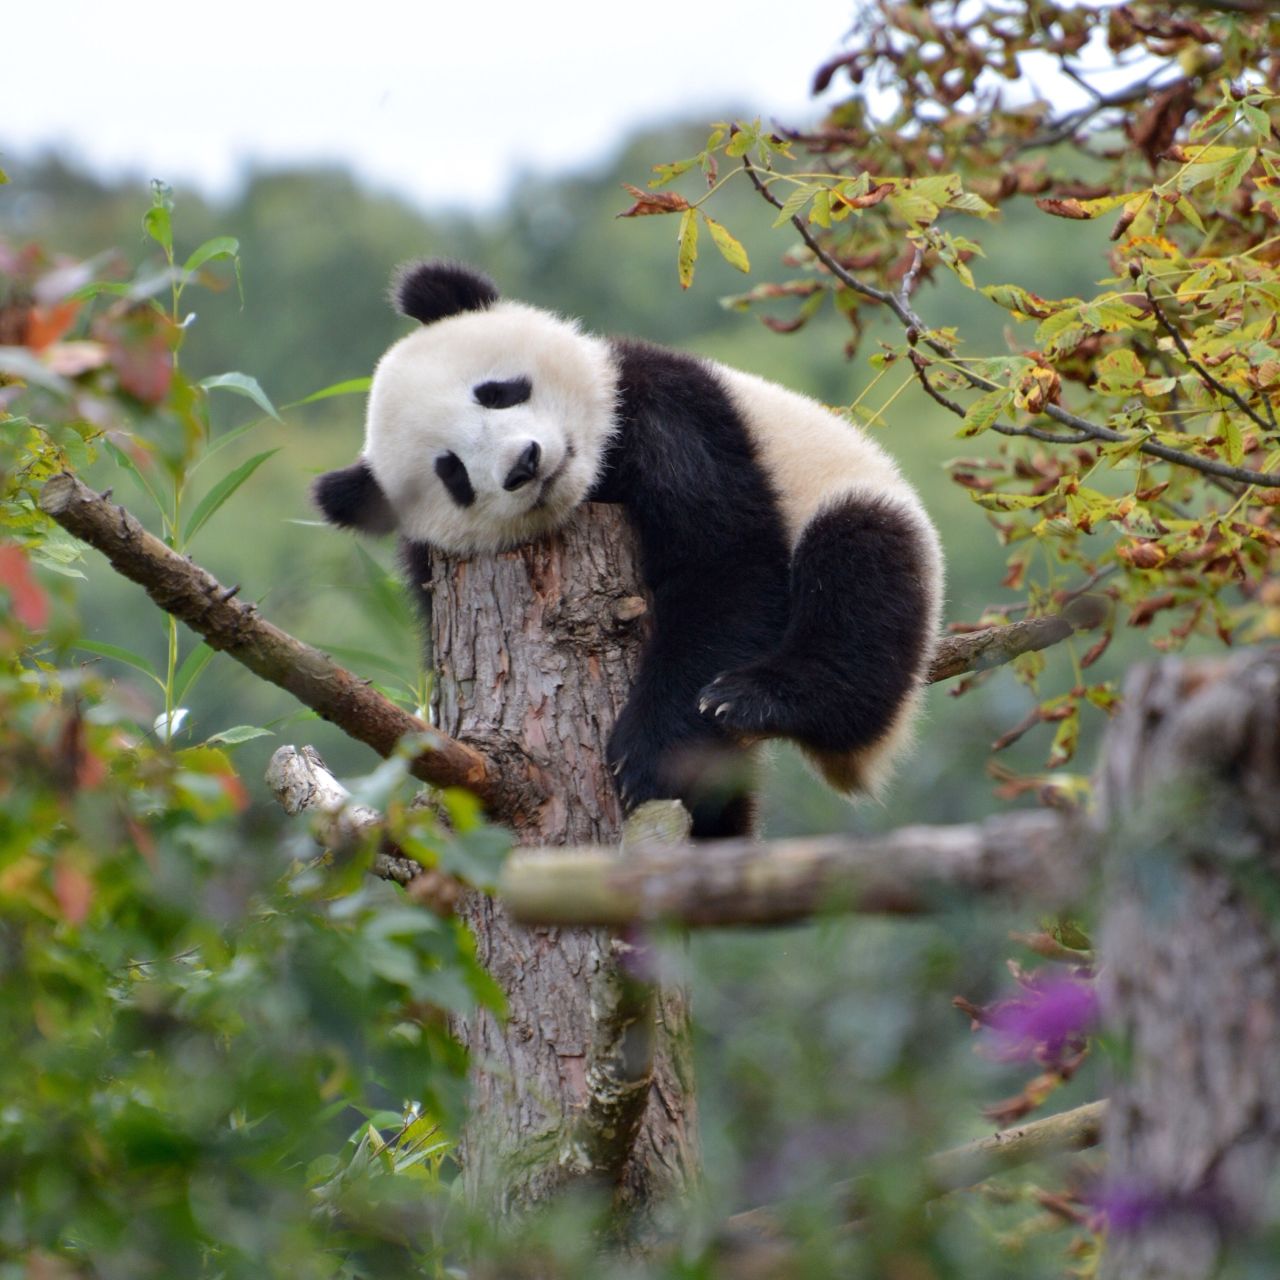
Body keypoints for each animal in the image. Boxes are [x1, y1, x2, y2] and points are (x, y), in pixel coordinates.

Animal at [314, 260, 945, 839]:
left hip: (854, 502)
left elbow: (724, 566)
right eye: (453, 473)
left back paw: (756, 699)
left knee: (859, 578)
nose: (524, 464)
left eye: (496, 393)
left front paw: (649, 755)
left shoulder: (668, 411)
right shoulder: (428, 560)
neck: (595, 480)